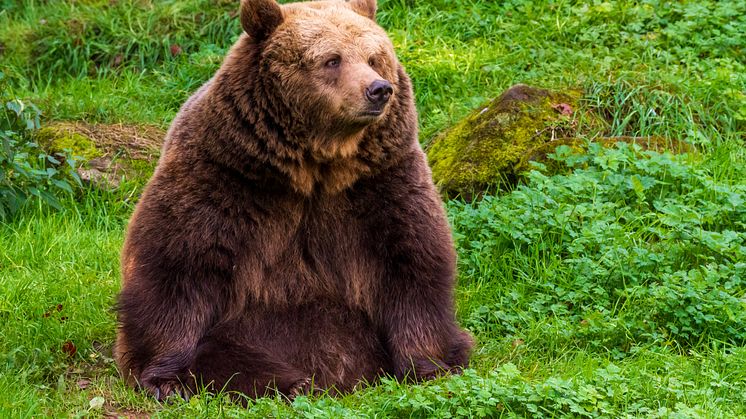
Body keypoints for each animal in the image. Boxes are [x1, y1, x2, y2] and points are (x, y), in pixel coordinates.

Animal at [115, 0, 470, 402]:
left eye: (374, 57)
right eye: (332, 59)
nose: (379, 89)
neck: (315, 166)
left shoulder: (381, 182)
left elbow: (411, 261)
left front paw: (429, 366)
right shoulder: (222, 175)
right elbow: (179, 266)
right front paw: (164, 379)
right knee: (227, 351)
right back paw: (289, 380)